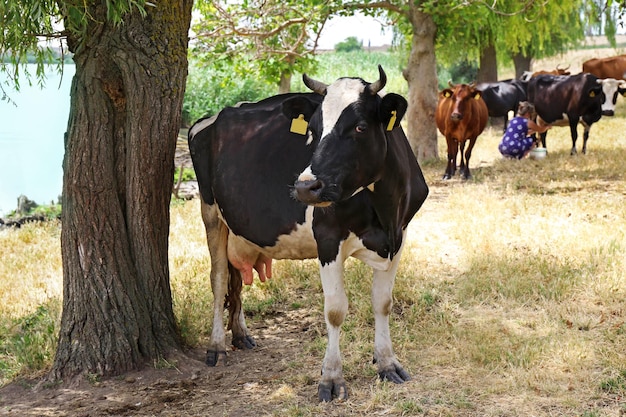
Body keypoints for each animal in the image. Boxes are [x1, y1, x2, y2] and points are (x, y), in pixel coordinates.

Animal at [188, 66, 426, 402]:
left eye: (360, 127)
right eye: (312, 130)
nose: (305, 186)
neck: (385, 211)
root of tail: (213, 117)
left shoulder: (399, 236)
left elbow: (383, 303)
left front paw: (388, 363)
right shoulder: (328, 238)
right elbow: (336, 310)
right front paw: (331, 378)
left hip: (237, 224)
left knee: (235, 279)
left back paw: (241, 334)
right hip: (210, 213)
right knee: (219, 277)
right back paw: (217, 345)